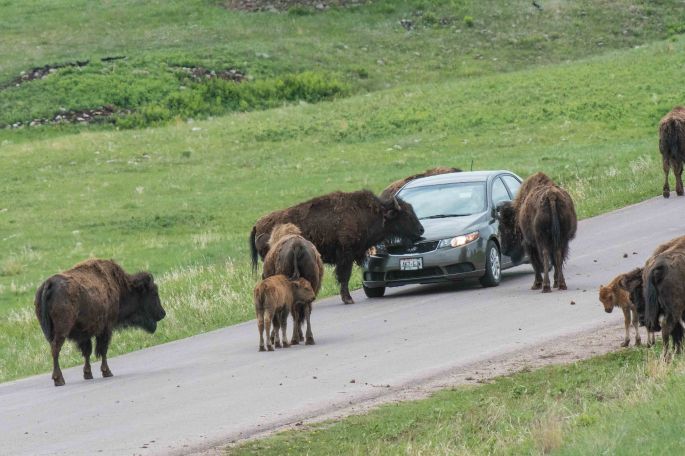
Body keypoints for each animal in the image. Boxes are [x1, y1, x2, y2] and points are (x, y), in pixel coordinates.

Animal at [34, 259, 165, 386]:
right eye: (154, 293)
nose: (162, 313)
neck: (119, 287)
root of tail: (49, 284)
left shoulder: (84, 334)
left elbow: (87, 352)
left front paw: (88, 374)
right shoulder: (106, 329)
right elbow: (103, 350)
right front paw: (107, 372)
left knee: (54, 350)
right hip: (62, 330)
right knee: (56, 349)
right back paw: (59, 379)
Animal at [250, 190, 424, 304]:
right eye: (406, 214)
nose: (421, 230)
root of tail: (257, 224)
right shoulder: (346, 255)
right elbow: (344, 276)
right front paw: (348, 299)